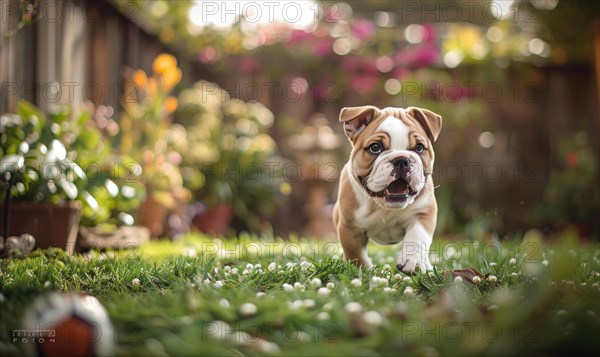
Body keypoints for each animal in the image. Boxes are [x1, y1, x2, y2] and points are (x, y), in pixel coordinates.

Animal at [332, 105, 440, 272]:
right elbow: (356, 255)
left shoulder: (423, 213)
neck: (383, 207)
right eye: (375, 148)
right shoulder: (349, 229)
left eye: (419, 147)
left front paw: (413, 261)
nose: (402, 160)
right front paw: (367, 271)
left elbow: (417, 237)